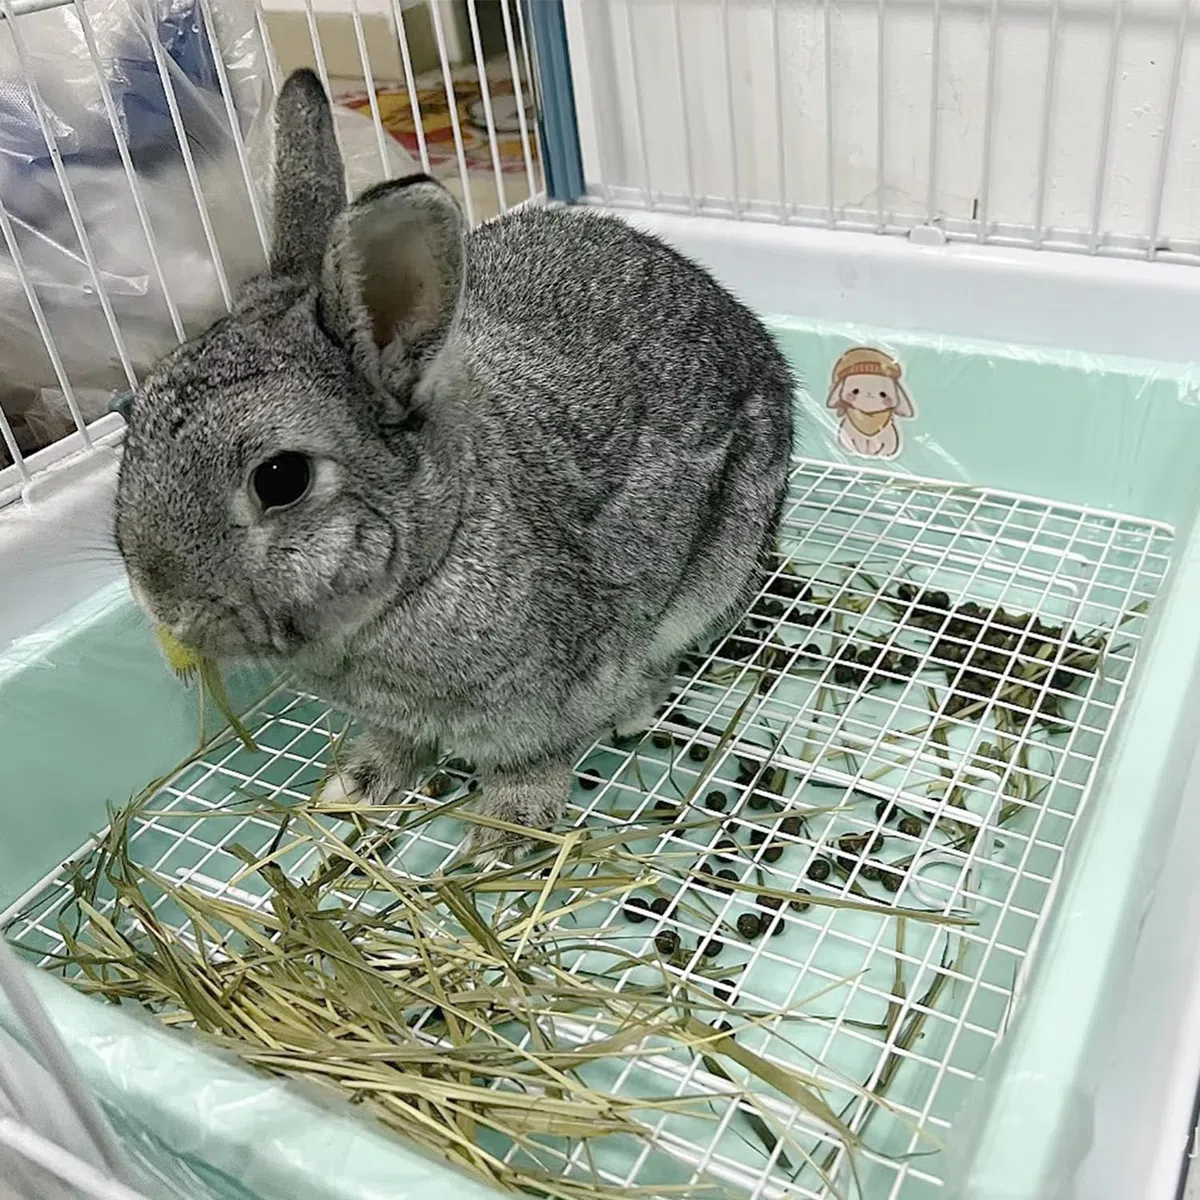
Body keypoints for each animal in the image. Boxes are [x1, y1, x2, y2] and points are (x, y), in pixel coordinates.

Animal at [114, 69, 796, 862]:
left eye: (281, 479)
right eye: (131, 415)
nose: (160, 604)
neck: (435, 549)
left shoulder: (552, 696)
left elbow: (537, 760)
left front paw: (505, 833)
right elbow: (394, 744)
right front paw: (356, 786)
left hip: (723, 558)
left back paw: (636, 709)